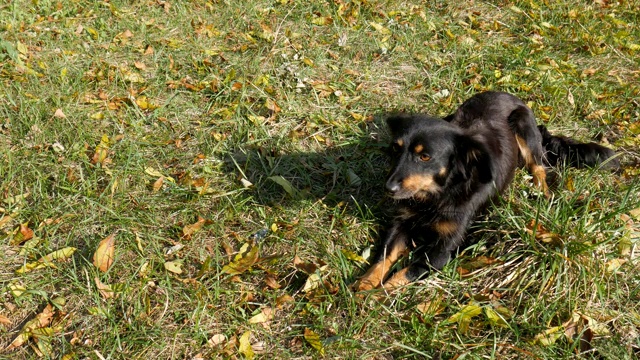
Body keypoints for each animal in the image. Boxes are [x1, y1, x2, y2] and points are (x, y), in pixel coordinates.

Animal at [352, 90, 616, 292]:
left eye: (424, 156)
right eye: (395, 150)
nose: (389, 188)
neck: (440, 194)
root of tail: (506, 93)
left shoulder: (442, 251)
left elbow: (403, 274)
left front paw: (372, 297)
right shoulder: (401, 223)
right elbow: (382, 257)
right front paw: (363, 285)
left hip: (524, 126)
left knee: (539, 166)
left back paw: (544, 194)